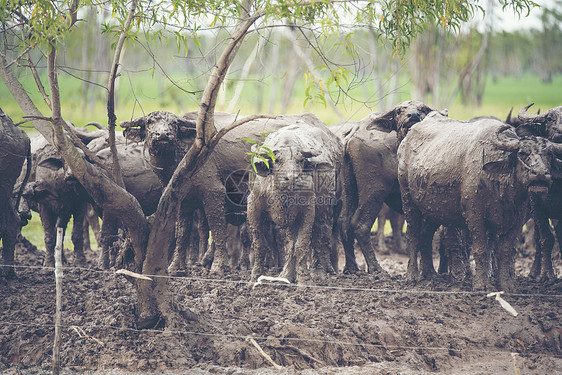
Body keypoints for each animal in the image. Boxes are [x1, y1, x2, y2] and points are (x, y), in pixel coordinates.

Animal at [246, 122, 342, 284]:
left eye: (300, 160)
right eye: (277, 160)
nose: (291, 178)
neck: (283, 195)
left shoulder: (308, 211)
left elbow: (301, 245)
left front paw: (304, 280)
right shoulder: (253, 207)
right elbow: (259, 244)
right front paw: (254, 277)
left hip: (323, 208)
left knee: (318, 236)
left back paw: (317, 273)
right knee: (290, 243)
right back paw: (286, 276)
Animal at [330, 101, 436, 274]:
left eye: (423, 109)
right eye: (399, 111)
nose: (413, 115)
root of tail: (352, 135)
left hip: (349, 187)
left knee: (344, 222)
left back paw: (352, 268)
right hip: (375, 190)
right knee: (360, 224)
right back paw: (376, 268)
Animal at [396, 114, 556, 290]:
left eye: (549, 154)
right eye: (522, 153)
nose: (540, 173)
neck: (497, 183)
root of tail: (406, 138)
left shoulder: (517, 220)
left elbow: (505, 251)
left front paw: (506, 285)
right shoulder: (475, 216)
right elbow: (481, 249)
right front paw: (482, 284)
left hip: (434, 209)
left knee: (425, 236)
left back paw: (430, 274)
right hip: (408, 200)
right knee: (413, 235)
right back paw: (412, 276)